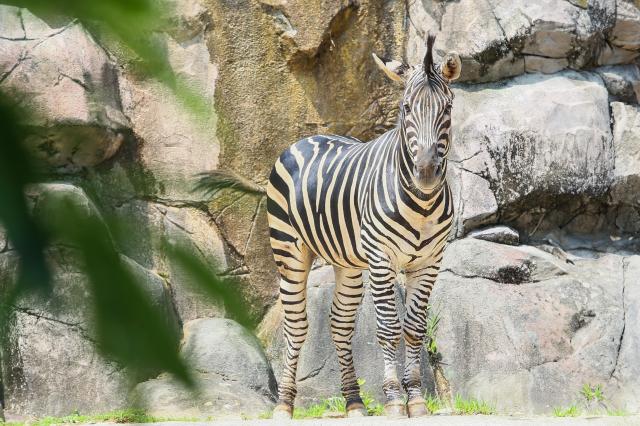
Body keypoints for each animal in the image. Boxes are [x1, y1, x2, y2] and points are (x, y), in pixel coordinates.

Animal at [196, 34, 460, 420]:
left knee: (339, 324)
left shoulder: (429, 263)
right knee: (296, 327)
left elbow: (413, 329)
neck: (422, 204)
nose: (425, 172)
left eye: (447, 109)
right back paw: (284, 404)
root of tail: (307, 138)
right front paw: (395, 400)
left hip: (347, 263)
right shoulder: (381, 259)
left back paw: (354, 401)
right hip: (289, 253)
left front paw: (415, 399)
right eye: (406, 109)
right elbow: (388, 328)